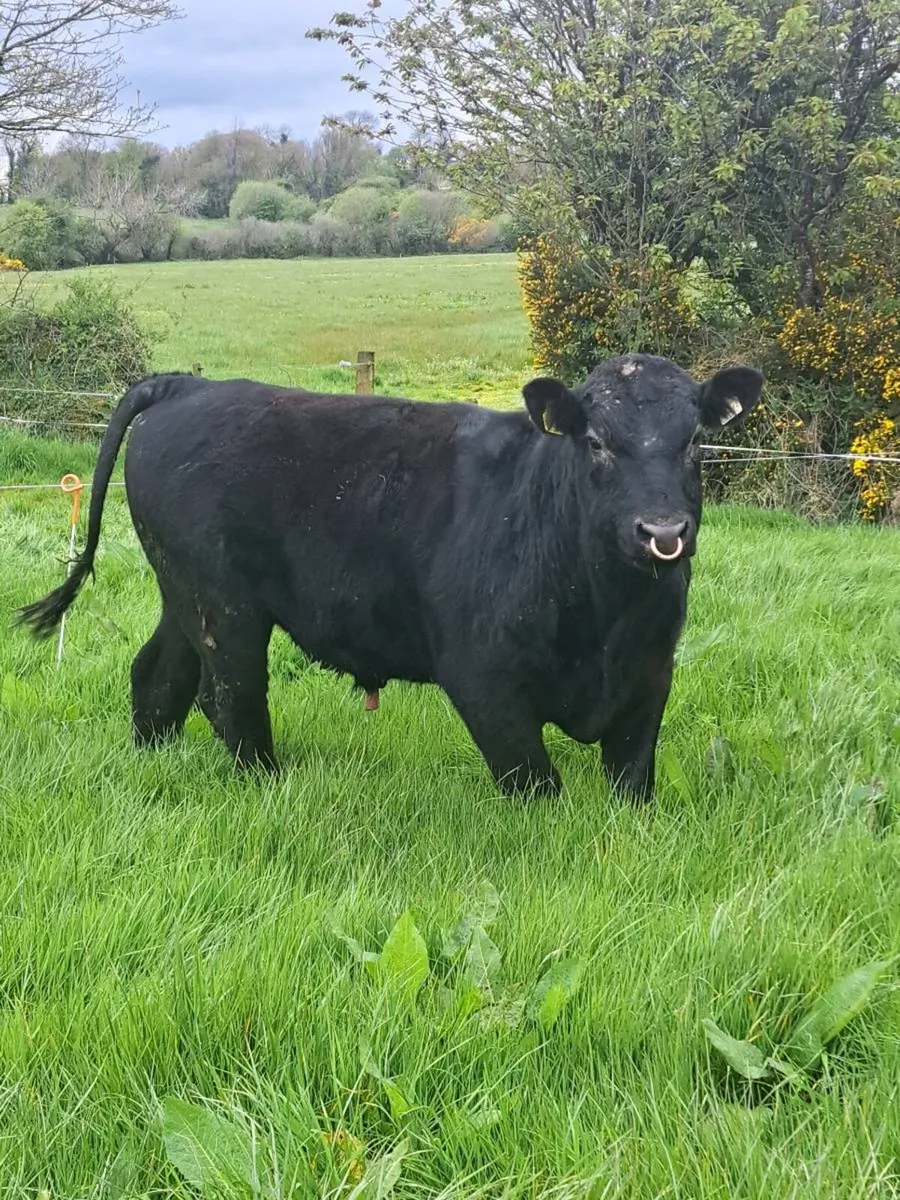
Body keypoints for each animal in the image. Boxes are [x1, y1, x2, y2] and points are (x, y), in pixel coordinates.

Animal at [18, 354, 763, 800]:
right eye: (597, 442)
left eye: (696, 441)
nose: (662, 532)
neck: (606, 612)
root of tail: (188, 385)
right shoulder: (481, 676)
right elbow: (532, 780)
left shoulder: (650, 673)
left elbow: (630, 778)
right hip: (222, 605)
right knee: (229, 694)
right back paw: (269, 782)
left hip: (184, 593)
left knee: (159, 675)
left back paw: (153, 760)